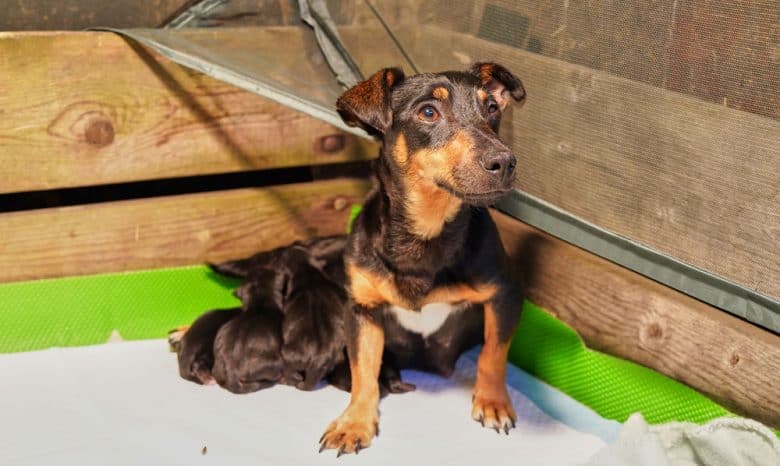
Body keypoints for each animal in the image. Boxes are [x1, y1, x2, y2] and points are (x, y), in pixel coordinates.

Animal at [320, 62, 528, 456]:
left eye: (492, 108)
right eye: (428, 112)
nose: (505, 162)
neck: (427, 232)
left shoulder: (505, 295)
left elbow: (493, 355)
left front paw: (493, 403)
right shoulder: (361, 310)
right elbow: (363, 371)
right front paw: (354, 423)